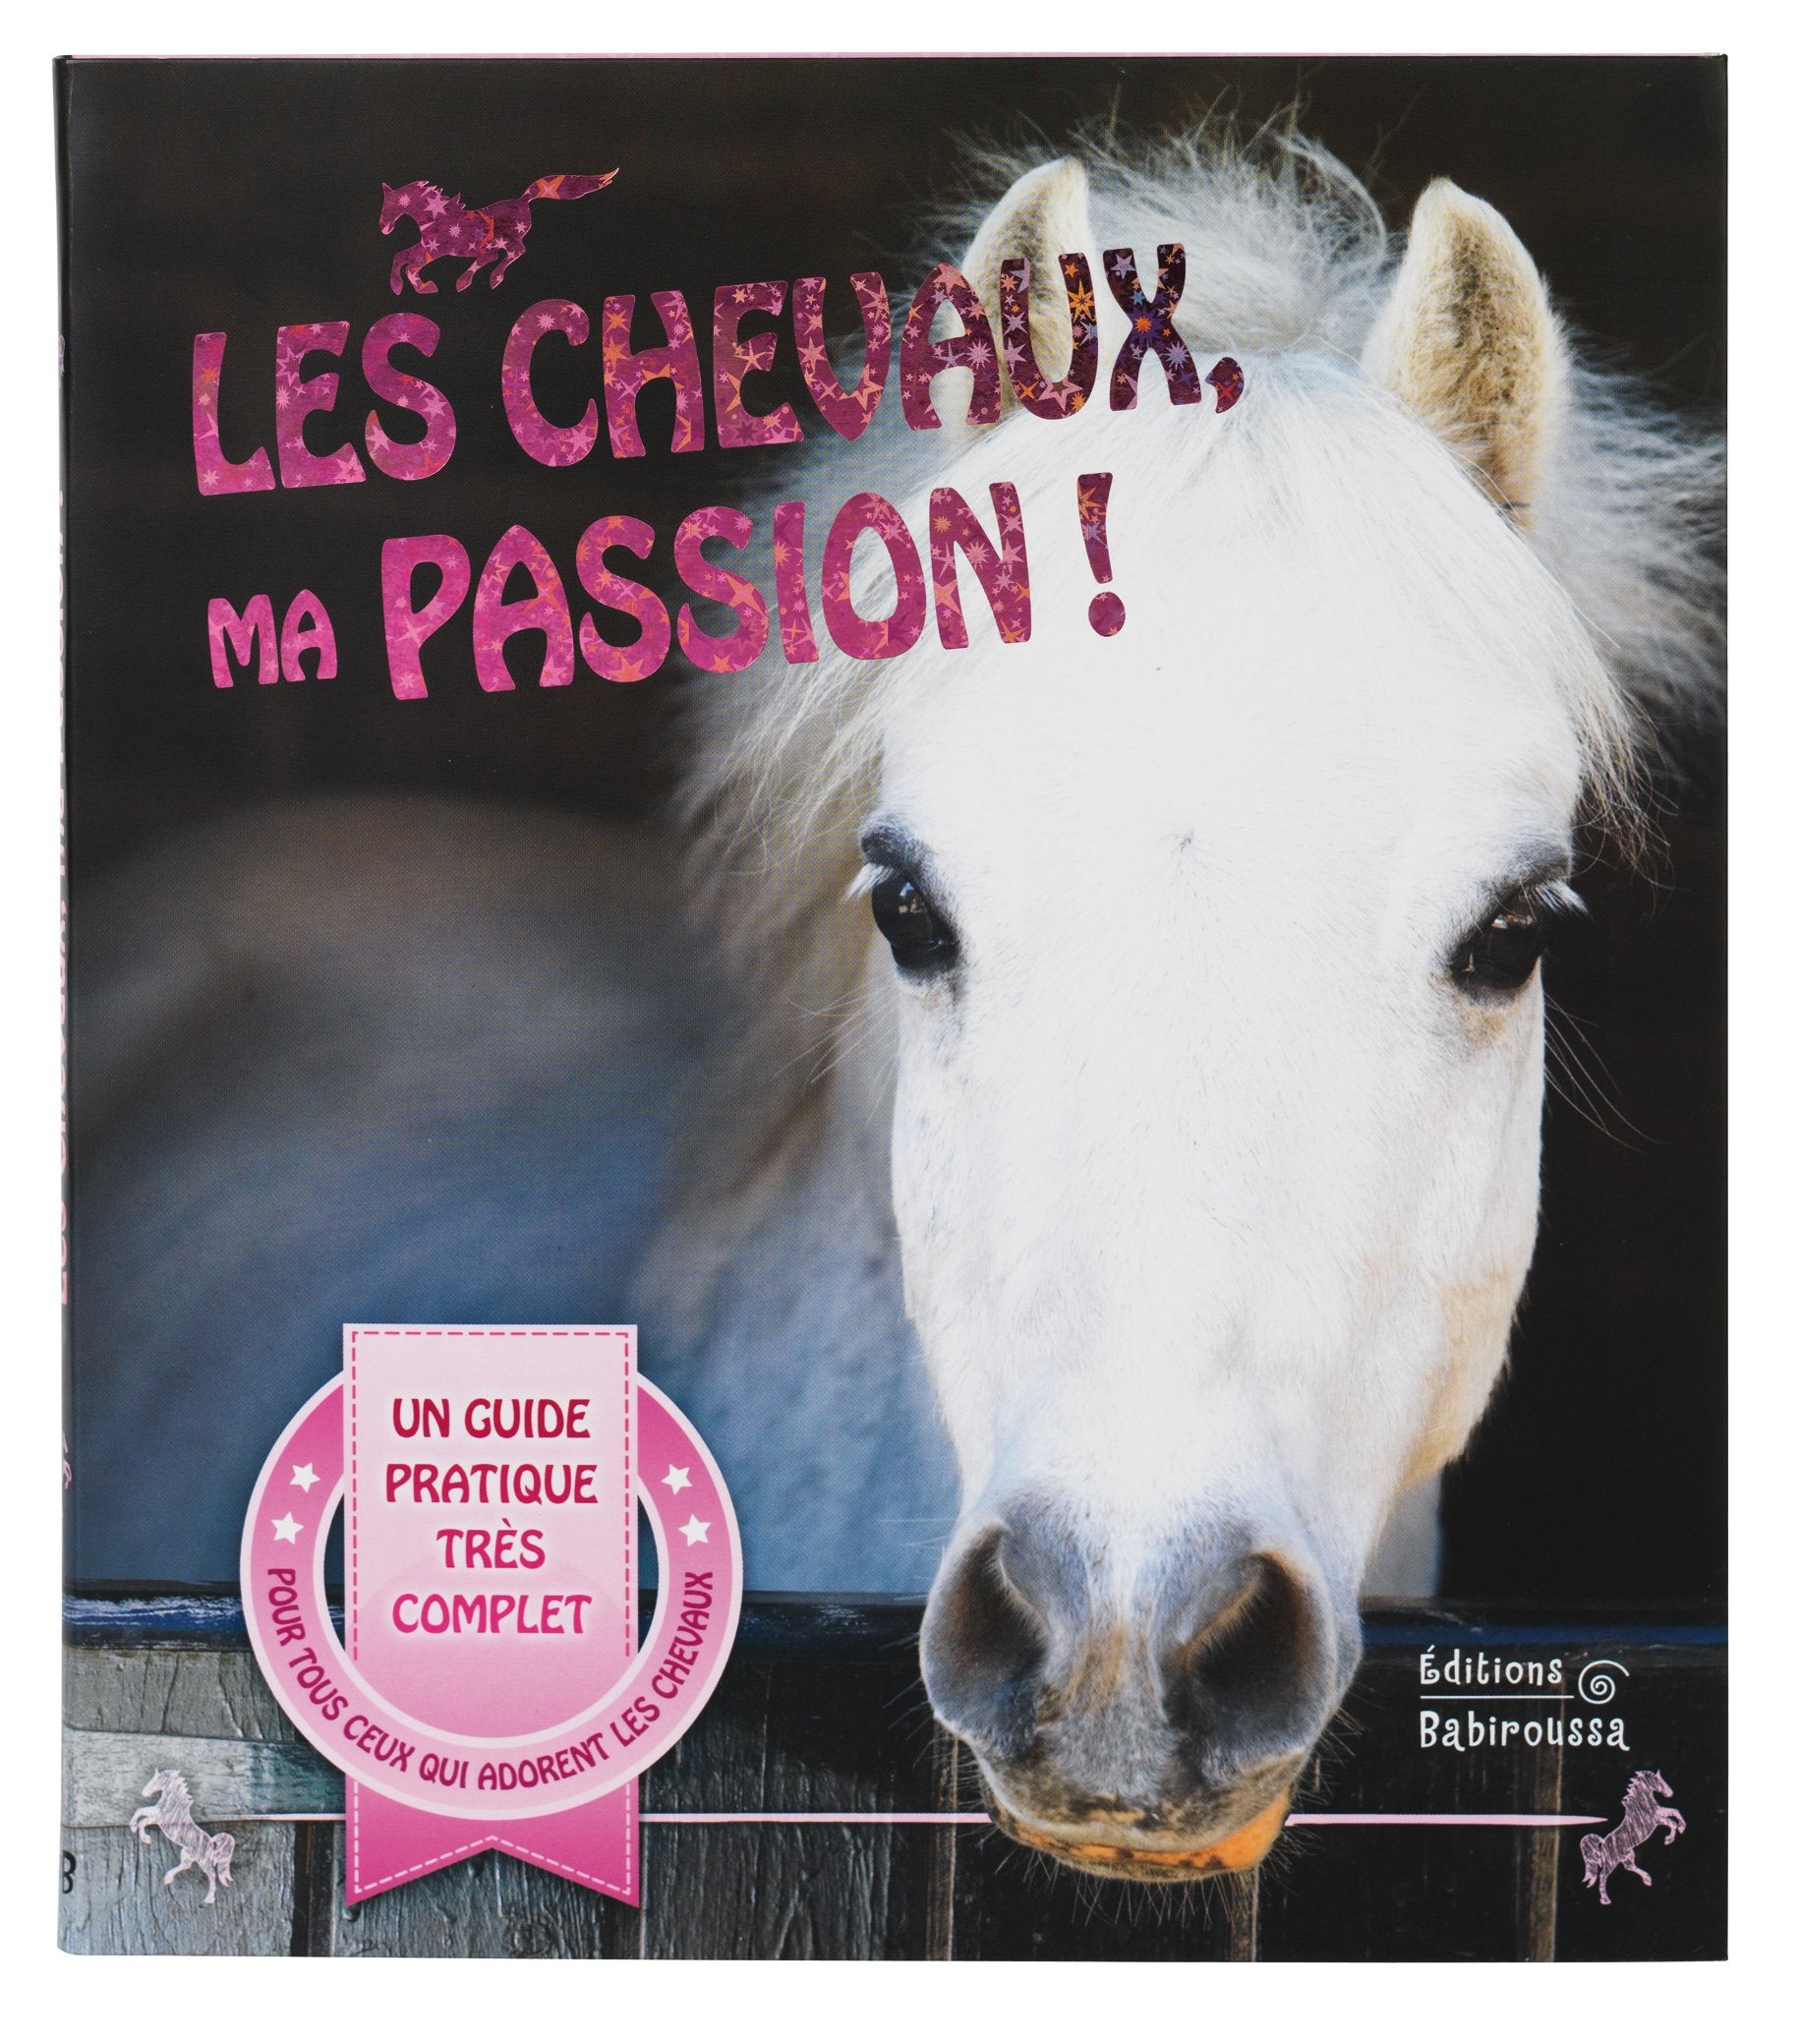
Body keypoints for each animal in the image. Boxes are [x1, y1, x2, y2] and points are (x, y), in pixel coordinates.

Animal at [128, 1769, 237, 1904]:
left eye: (155, 1781)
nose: (144, 1793)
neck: (172, 1803)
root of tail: (212, 1842)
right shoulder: (156, 1816)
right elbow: (141, 1815)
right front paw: (141, 1834)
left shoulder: (158, 1817)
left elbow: (141, 1816)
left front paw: (140, 1833)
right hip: (187, 1853)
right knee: (185, 1865)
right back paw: (167, 1878)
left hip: (203, 1860)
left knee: (212, 1875)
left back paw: (209, 1899)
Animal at [379, 173, 617, 294]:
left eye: (390, 205)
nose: (383, 227)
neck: (438, 215)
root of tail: (523, 200)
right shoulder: (427, 246)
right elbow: (400, 257)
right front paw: (398, 287)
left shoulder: (434, 249)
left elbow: (411, 266)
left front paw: (424, 287)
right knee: (493, 256)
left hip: (508, 238)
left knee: (513, 253)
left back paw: (483, 279)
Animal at [1581, 1770, 1685, 1903]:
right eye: (1658, 1781)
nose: (1670, 1793)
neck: (1642, 1803)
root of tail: (1603, 1842)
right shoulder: (1657, 1819)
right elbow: (1672, 1819)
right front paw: (1670, 1838)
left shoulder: (1659, 1816)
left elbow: (1674, 1812)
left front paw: (1679, 1830)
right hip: (1612, 1861)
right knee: (1603, 1875)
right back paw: (1605, 1899)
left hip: (1627, 1855)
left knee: (1630, 1867)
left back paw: (1647, 1879)